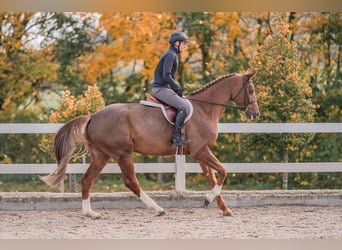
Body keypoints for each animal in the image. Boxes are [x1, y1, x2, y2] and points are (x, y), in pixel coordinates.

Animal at [42, 71, 260, 219]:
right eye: (250, 90)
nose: (255, 114)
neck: (204, 109)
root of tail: (93, 116)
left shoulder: (199, 153)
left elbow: (212, 178)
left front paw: (224, 208)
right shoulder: (201, 151)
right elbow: (223, 171)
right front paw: (208, 199)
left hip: (102, 155)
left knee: (87, 180)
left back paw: (90, 213)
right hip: (122, 153)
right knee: (131, 182)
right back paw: (158, 209)